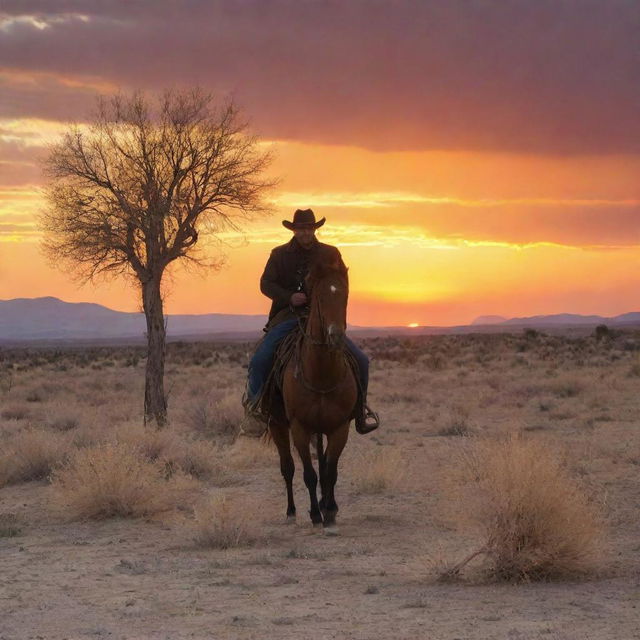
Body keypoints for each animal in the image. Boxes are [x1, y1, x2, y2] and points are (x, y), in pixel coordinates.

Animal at [268, 248, 360, 532]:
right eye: (319, 296)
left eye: (345, 295)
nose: (335, 336)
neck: (320, 374)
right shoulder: (299, 428)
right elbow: (309, 474)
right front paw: (315, 514)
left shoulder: (339, 428)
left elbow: (330, 471)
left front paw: (329, 510)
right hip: (277, 424)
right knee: (287, 467)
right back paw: (291, 511)